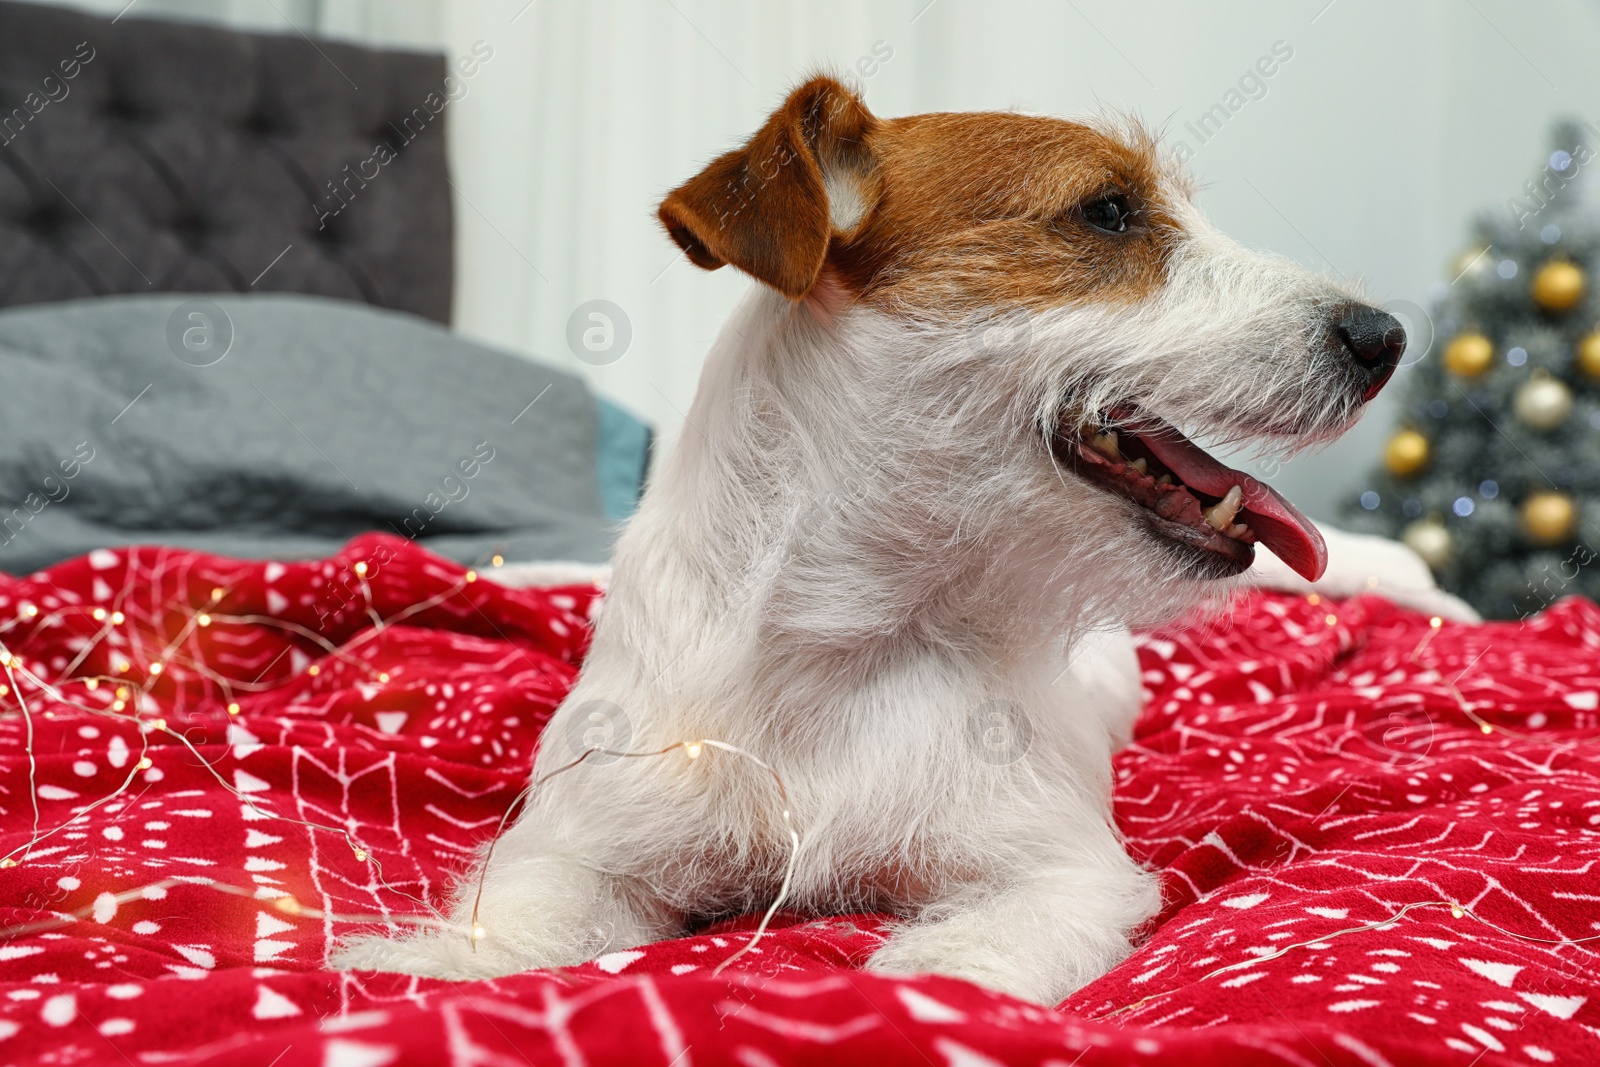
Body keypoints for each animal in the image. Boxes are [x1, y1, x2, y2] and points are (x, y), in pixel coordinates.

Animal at [337, 79, 1440, 1004]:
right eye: (1107, 212)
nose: (1383, 338)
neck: (849, 631)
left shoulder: (1058, 868)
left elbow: (987, 944)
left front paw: (930, 984)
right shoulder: (583, 842)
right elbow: (521, 916)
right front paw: (428, 965)